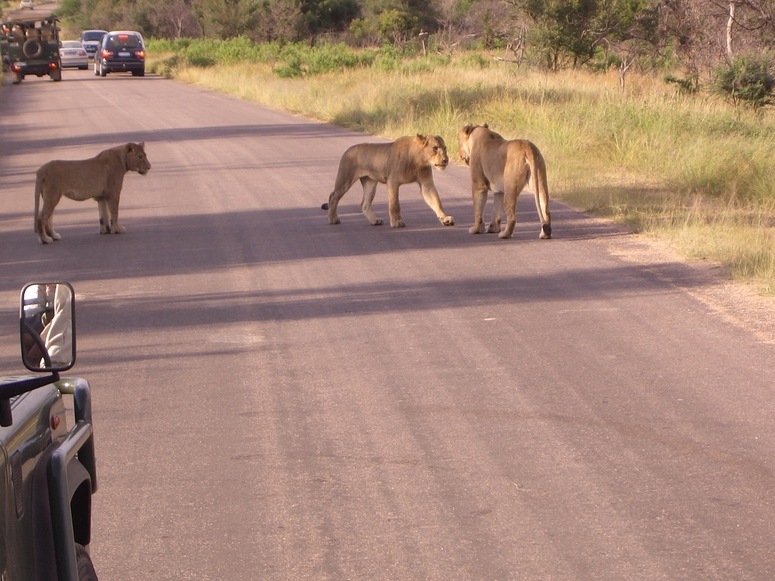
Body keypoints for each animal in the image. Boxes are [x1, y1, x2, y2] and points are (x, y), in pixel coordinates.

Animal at [324, 135, 458, 228]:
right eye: (435, 148)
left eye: (445, 148)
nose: (446, 160)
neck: (419, 161)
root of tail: (348, 150)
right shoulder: (393, 182)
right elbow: (395, 204)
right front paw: (397, 222)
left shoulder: (426, 184)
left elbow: (437, 202)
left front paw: (446, 219)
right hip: (345, 180)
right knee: (333, 196)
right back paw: (333, 219)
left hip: (370, 183)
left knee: (364, 204)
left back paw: (375, 220)